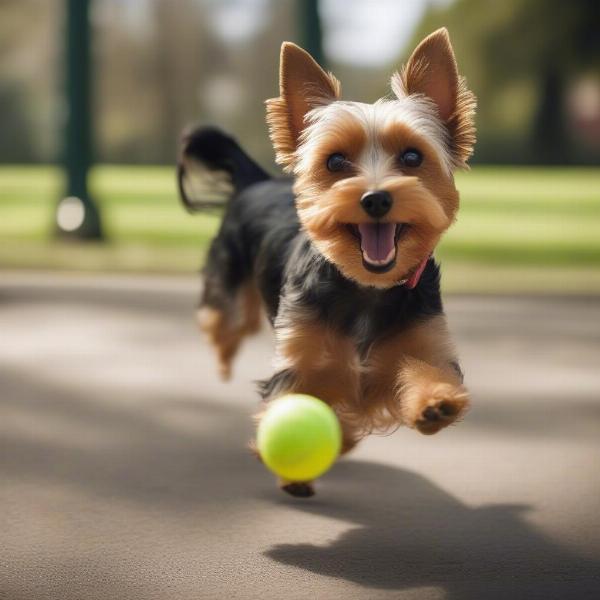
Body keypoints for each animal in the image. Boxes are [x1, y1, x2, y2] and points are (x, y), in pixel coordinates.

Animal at [176, 28, 476, 496]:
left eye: (412, 157)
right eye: (335, 161)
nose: (376, 198)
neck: (366, 288)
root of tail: (257, 182)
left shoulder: (418, 343)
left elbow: (425, 371)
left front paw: (435, 402)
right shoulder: (300, 359)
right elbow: (292, 398)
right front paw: (292, 467)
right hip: (230, 288)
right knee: (221, 322)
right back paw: (223, 357)